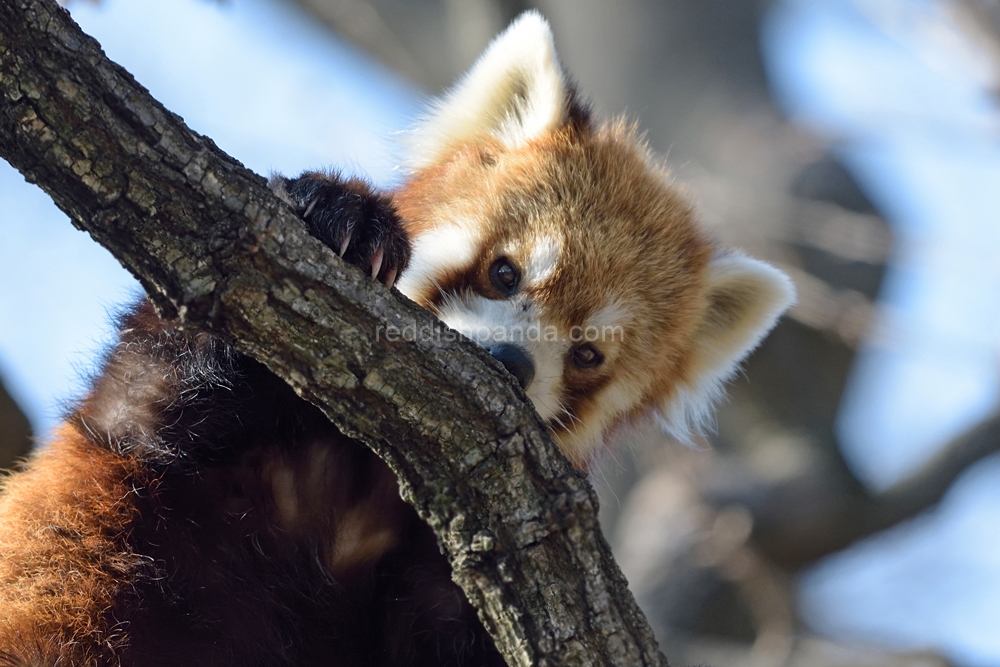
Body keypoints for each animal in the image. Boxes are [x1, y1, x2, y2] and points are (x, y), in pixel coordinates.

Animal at [0, 10, 792, 667]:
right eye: (504, 273)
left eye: (588, 354)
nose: (509, 363)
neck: (363, 470)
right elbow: (145, 408)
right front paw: (340, 213)